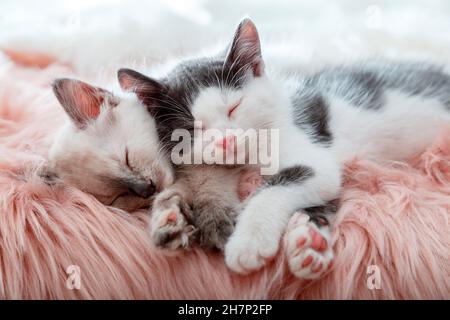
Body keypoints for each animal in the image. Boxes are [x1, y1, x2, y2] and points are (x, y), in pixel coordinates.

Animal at [118, 18, 450, 278]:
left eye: (234, 107)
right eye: (191, 128)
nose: (227, 141)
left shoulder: (316, 156)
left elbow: (273, 189)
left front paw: (248, 242)